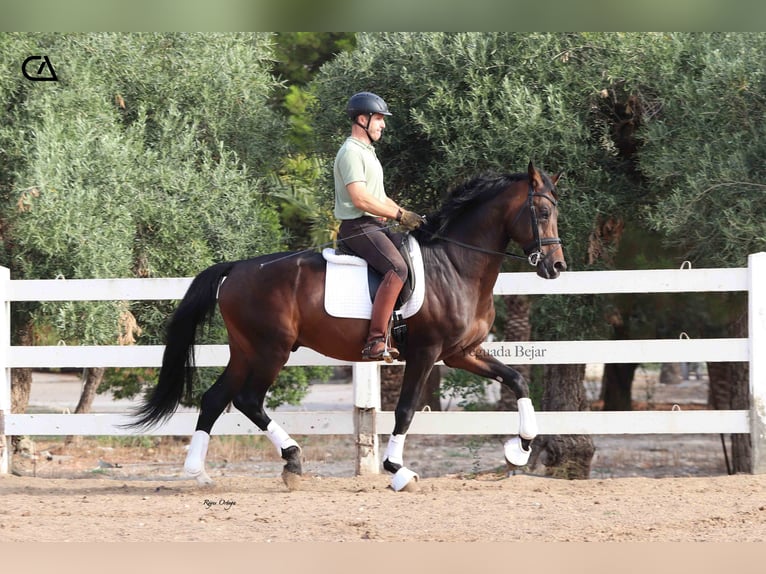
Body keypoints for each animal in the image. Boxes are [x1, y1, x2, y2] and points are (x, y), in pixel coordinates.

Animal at [129, 161, 568, 490]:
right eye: (544, 213)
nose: (556, 267)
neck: (456, 266)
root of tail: (237, 268)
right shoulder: (426, 353)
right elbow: (406, 409)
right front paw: (397, 470)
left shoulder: (462, 353)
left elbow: (517, 380)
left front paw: (519, 449)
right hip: (272, 349)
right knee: (248, 400)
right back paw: (292, 461)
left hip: (246, 349)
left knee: (215, 399)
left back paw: (197, 472)